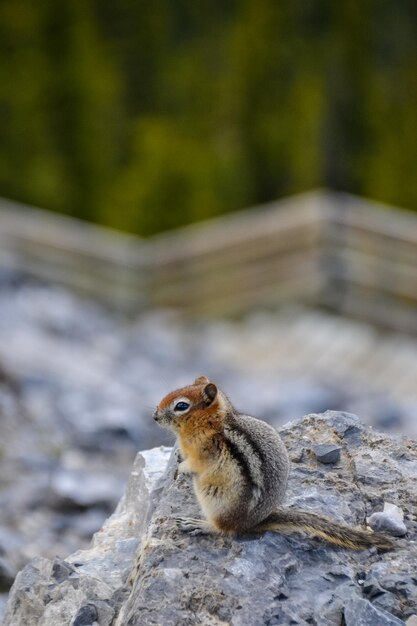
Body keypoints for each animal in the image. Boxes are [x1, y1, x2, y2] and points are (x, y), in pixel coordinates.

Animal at [153, 376, 394, 544]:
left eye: (181, 406)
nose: (154, 416)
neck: (212, 422)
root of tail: (255, 522)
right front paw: (177, 455)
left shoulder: (204, 451)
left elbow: (194, 464)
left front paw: (182, 467)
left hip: (215, 501)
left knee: (225, 529)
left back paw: (199, 524)